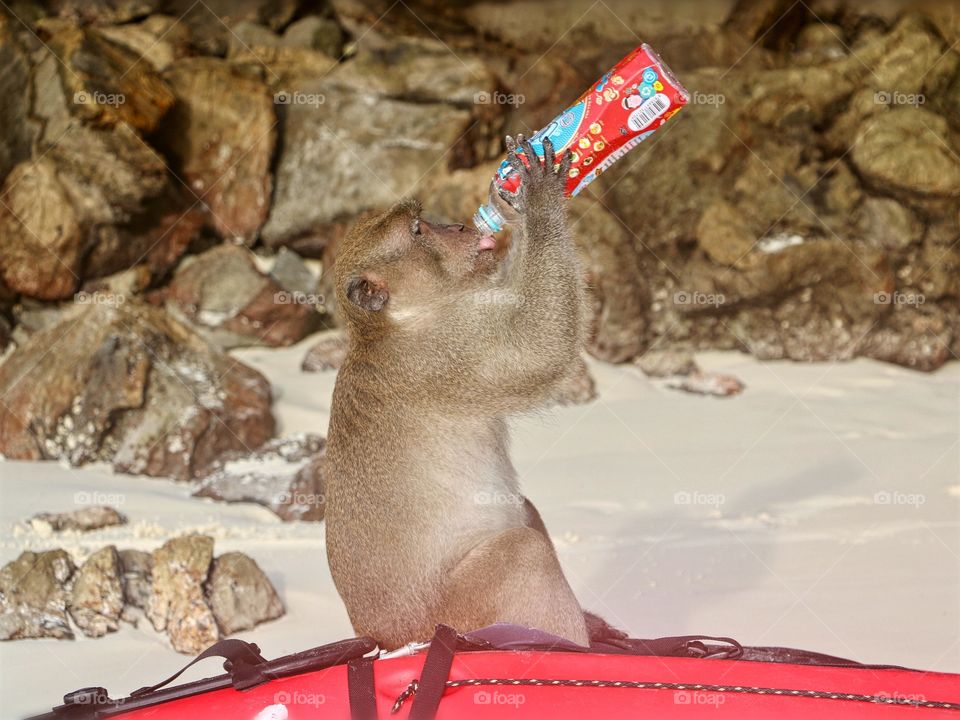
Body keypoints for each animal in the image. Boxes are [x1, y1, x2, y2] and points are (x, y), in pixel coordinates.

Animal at [325, 135, 605, 649]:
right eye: (419, 231)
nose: (457, 225)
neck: (395, 324)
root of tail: (388, 640)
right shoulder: (446, 354)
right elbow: (537, 349)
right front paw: (540, 200)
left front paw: (510, 200)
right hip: (460, 613)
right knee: (522, 552)